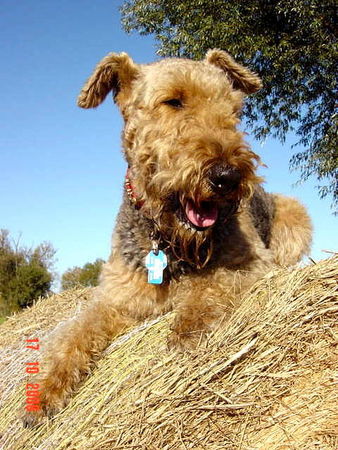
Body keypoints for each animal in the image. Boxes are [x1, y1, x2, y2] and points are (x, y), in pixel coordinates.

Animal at [21, 50, 312, 426]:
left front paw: (187, 329)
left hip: (295, 215)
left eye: (234, 110)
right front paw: (44, 391)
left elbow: (210, 285)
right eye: (173, 101)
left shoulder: (251, 263)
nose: (227, 177)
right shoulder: (118, 297)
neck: (167, 240)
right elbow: (76, 332)